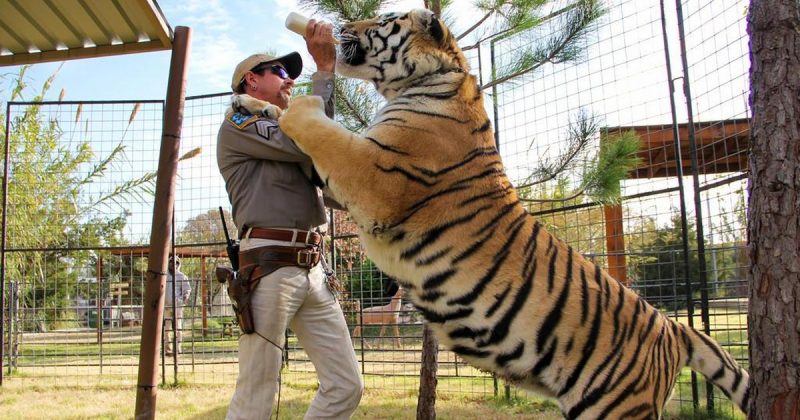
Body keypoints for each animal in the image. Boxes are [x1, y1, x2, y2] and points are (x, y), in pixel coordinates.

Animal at [266, 8, 752, 418]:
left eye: (384, 20)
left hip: (615, 408)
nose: (342, 24)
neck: (430, 80)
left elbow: (323, 132)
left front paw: (290, 103)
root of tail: (673, 328)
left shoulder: (374, 176)